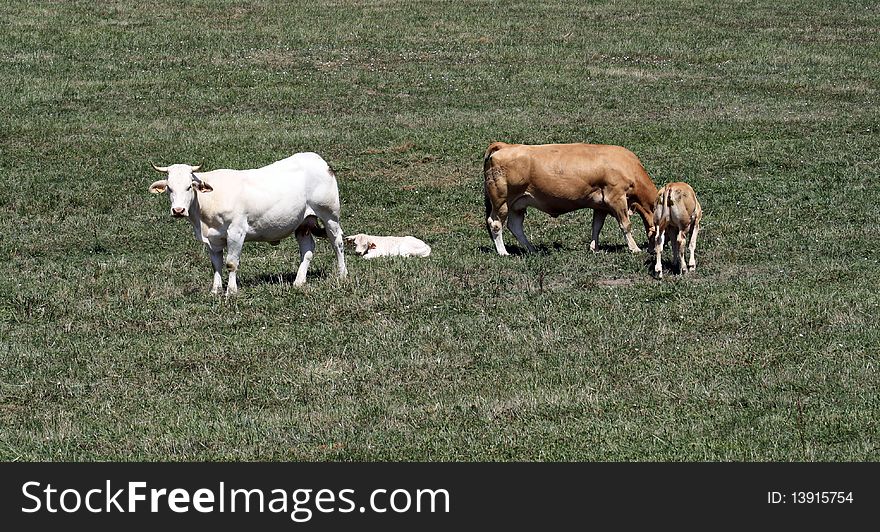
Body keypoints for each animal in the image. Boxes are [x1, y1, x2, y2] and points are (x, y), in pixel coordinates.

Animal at [148, 152, 348, 296]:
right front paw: (215, 290)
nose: (178, 210)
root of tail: (318, 159)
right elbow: (216, 264)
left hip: (329, 214)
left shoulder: (236, 232)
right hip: (302, 222)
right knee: (307, 248)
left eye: (189, 186)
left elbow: (231, 263)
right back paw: (298, 282)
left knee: (337, 242)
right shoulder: (212, 239)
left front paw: (231, 291)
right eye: (169, 188)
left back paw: (342, 274)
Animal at [482, 142, 660, 255]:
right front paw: (634, 248)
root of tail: (506, 146)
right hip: (501, 201)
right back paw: (503, 252)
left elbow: (596, 226)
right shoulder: (616, 197)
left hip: (518, 203)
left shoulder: (600, 206)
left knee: (515, 225)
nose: (653, 251)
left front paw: (594, 248)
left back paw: (531, 249)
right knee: (496, 223)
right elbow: (625, 225)